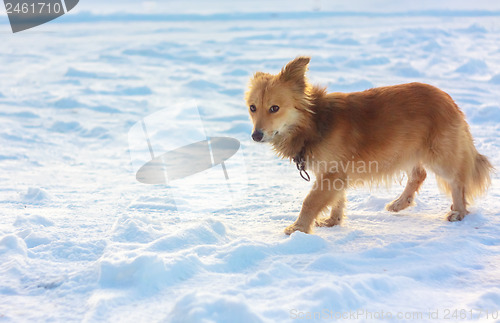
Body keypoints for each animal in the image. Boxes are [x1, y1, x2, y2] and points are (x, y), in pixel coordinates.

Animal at [246, 57, 492, 235]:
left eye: (274, 108)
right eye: (252, 108)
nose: (256, 135)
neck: (313, 123)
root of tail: (448, 99)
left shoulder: (332, 173)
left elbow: (310, 201)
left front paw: (298, 229)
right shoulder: (336, 174)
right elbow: (337, 199)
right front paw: (333, 221)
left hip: (438, 156)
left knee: (457, 181)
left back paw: (458, 212)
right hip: (406, 150)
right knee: (419, 174)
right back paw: (400, 204)